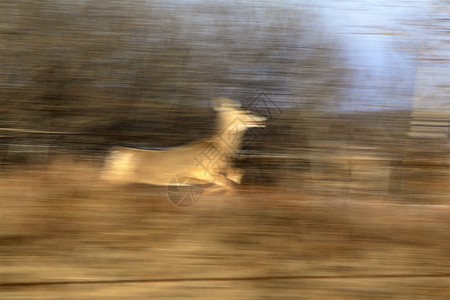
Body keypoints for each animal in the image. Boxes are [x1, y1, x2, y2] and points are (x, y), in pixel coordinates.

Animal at [100, 98, 266, 192]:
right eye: (245, 111)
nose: (263, 118)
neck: (222, 148)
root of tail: (115, 151)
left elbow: (238, 174)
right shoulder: (204, 172)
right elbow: (229, 183)